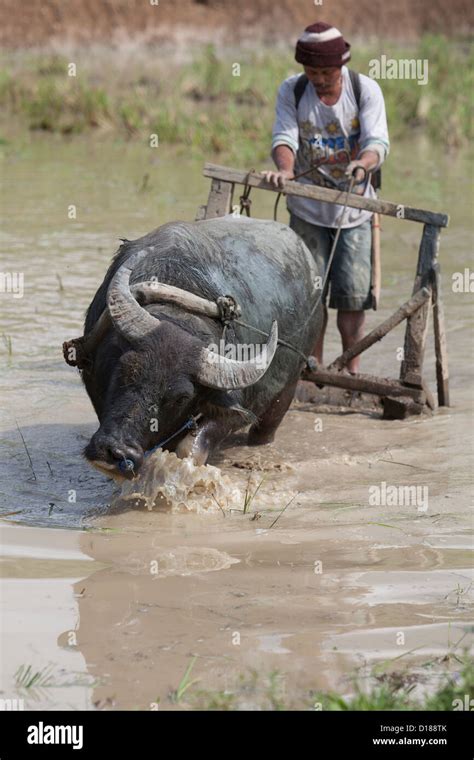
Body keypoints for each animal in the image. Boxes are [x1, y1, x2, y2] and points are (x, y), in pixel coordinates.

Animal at [63, 214, 322, 478]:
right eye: (125, 368)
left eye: (181, 398)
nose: (116, 451)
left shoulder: (233, 409)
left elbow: (190, 447)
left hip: (287, 390)